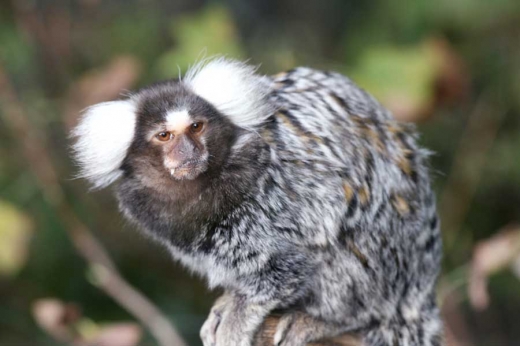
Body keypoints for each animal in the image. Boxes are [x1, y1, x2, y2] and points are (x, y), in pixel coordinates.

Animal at [71, 58, 440, 344]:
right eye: (164, 136)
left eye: (197, 127)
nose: (189, 152)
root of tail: (422, 285)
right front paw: (228, 303)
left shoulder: (278, 197)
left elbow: (290, 266)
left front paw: (236, 321)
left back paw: (326, 320)